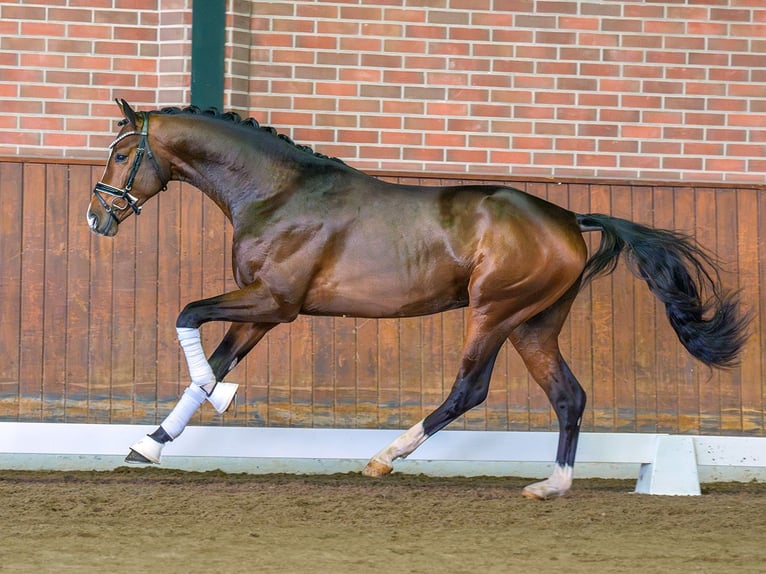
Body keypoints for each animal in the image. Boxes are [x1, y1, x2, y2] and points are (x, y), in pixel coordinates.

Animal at [85, 101, 752, 502]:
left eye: (120, 153)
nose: (97, 217)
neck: (278, 193)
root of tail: (568, 218)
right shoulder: (261, 311)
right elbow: (212, 361)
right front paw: (148, 444)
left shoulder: (273, 303)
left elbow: (189, 319)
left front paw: (212, 403)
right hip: (533, 324)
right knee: (569, 395)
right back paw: (551, 485)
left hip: (494, 312)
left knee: (469, 390)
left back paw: (385, 458)